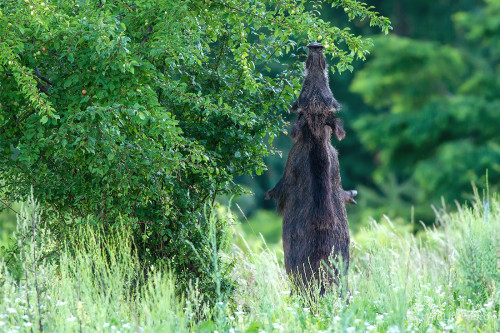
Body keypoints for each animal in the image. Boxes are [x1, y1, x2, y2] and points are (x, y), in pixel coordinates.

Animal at [266, 42, 356, 294]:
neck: (315, 134)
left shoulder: (287, 175)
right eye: (302, 101)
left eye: (296, 106)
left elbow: (276, 192)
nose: (316, 47)